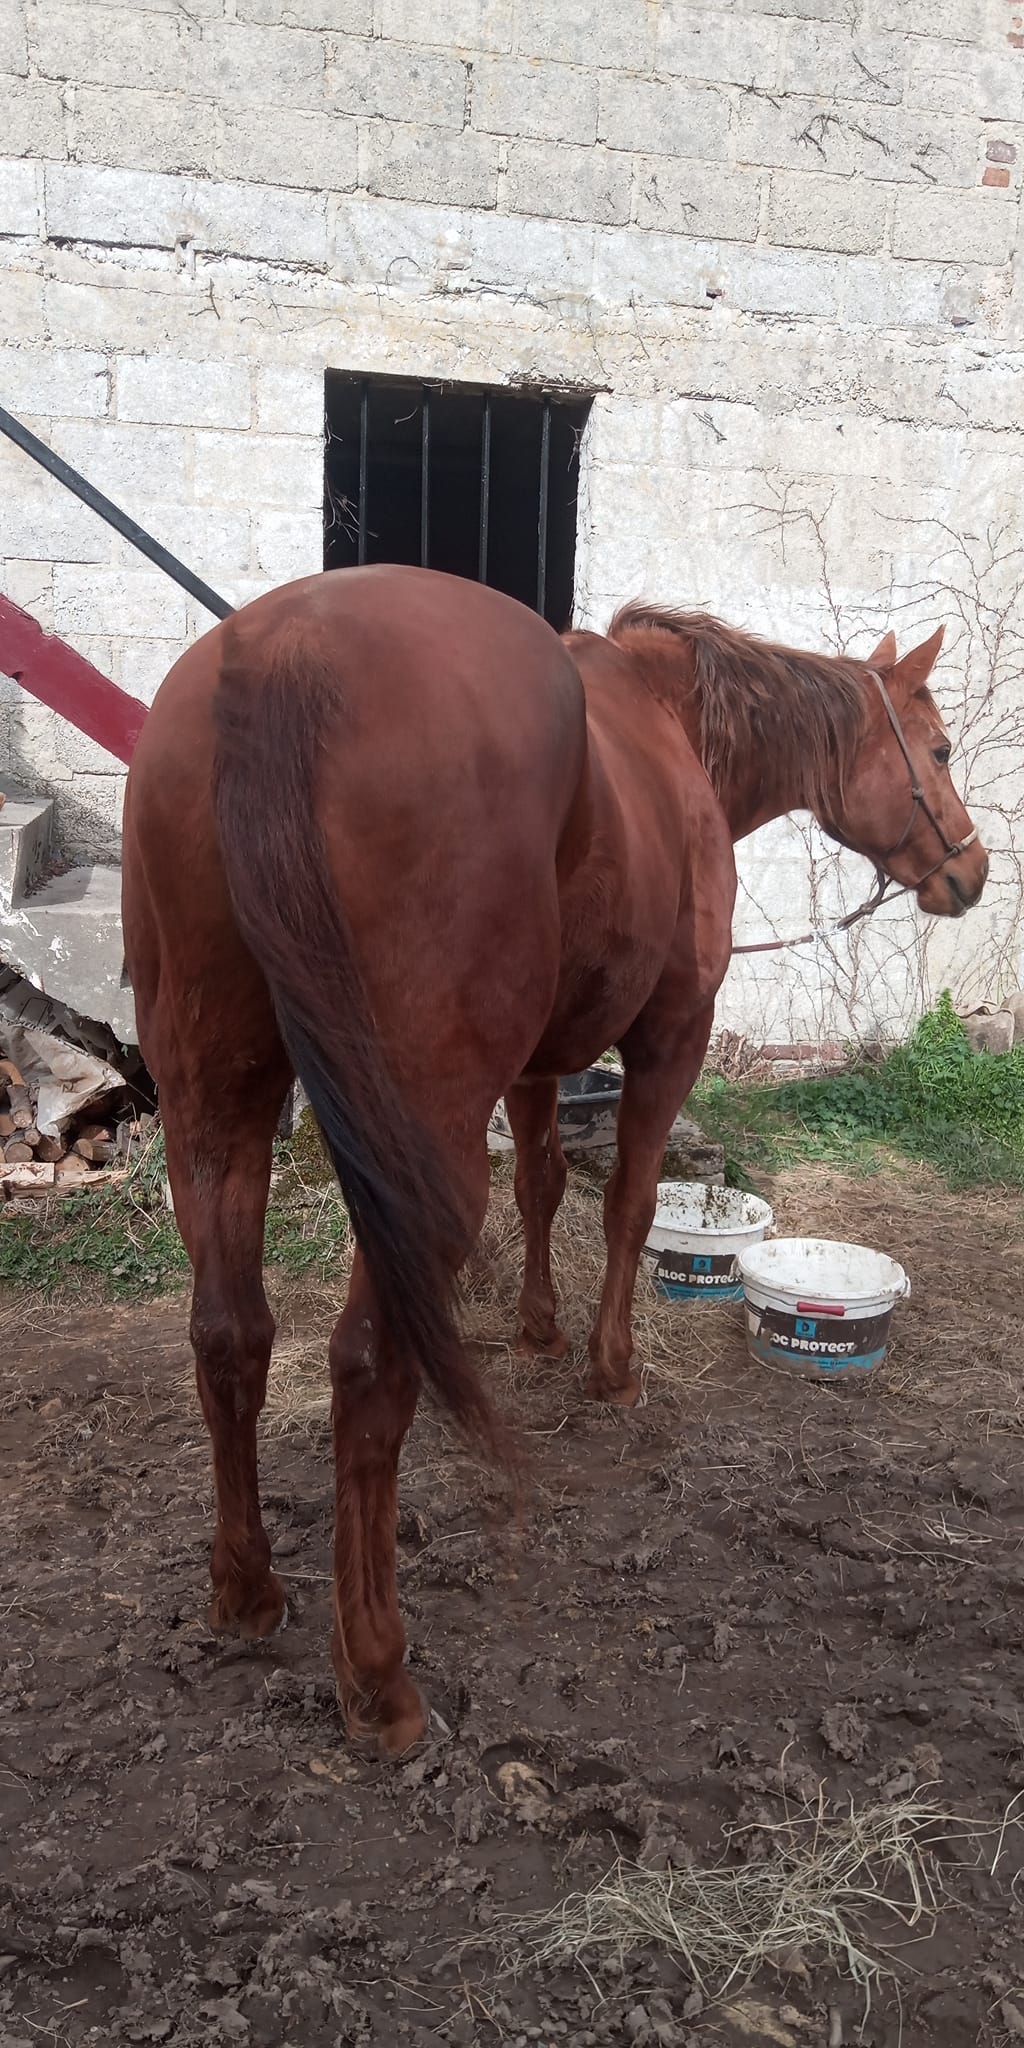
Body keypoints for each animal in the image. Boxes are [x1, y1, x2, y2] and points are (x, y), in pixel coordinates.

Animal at [121, 565, 987, 1758]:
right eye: (937, 748)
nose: (973, 871)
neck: (666, 728)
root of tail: (280, 654)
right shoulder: (672, 1031)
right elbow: (625, 1199)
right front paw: (609, 1365)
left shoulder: (534, 1067)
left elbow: (540, 1184)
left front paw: (536, 1329)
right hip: (414, 1151)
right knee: (367, 1368)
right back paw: (377, 1672)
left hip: (215, 1109)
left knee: (228, 1333)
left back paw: (246, 1588)